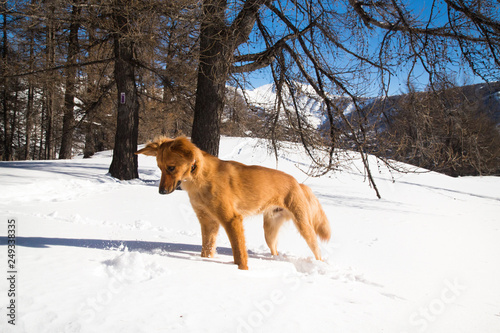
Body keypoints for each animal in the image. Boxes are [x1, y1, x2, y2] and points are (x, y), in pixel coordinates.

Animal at [138, 136, 332, 268]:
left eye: (171, 168)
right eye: (159, 168)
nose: (161, 191)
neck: (200, 177)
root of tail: (297, 183)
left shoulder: (231, 219)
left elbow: (239, 254)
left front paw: (241, 271)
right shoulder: (208, 221)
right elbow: (207, 249)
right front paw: (204, 262)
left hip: (304, 227)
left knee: (317, 250)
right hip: (269, 232)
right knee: (274, 248)